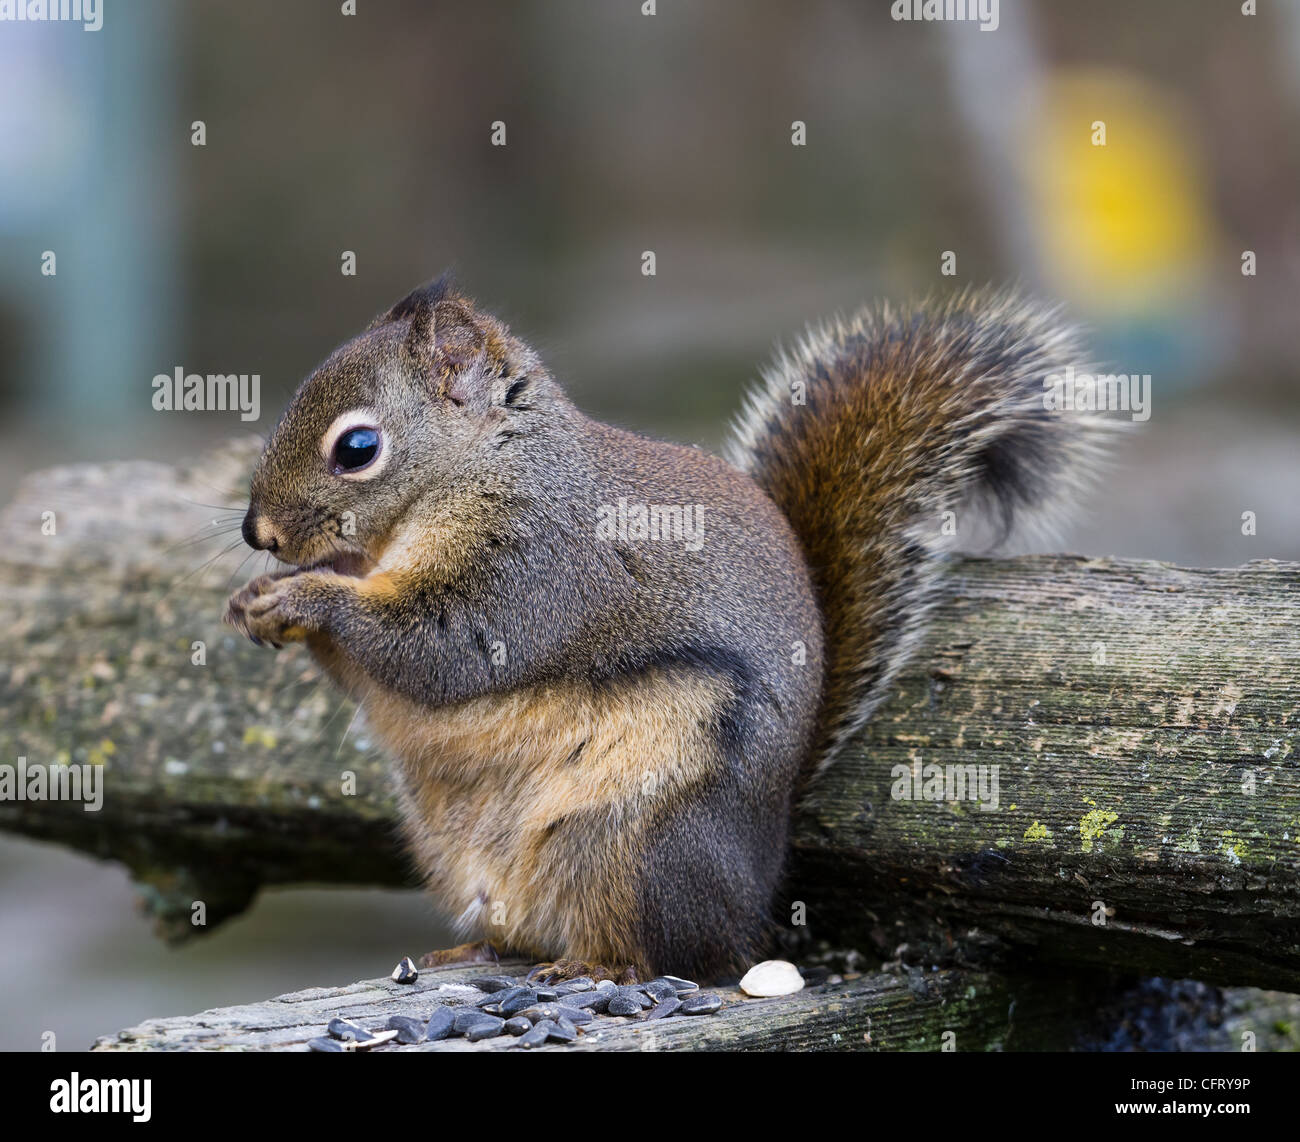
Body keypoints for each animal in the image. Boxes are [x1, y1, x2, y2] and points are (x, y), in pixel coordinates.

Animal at [226, 277, 1107, 983]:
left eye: (358, 448)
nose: (255, 532)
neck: (479, 468)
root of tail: (752, 892)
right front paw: (256, 599)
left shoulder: (535, 566)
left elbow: (443, 649)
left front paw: (311, 599)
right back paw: (478, 949)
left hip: (633, 842)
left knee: (670, 952)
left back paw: (598, 968)